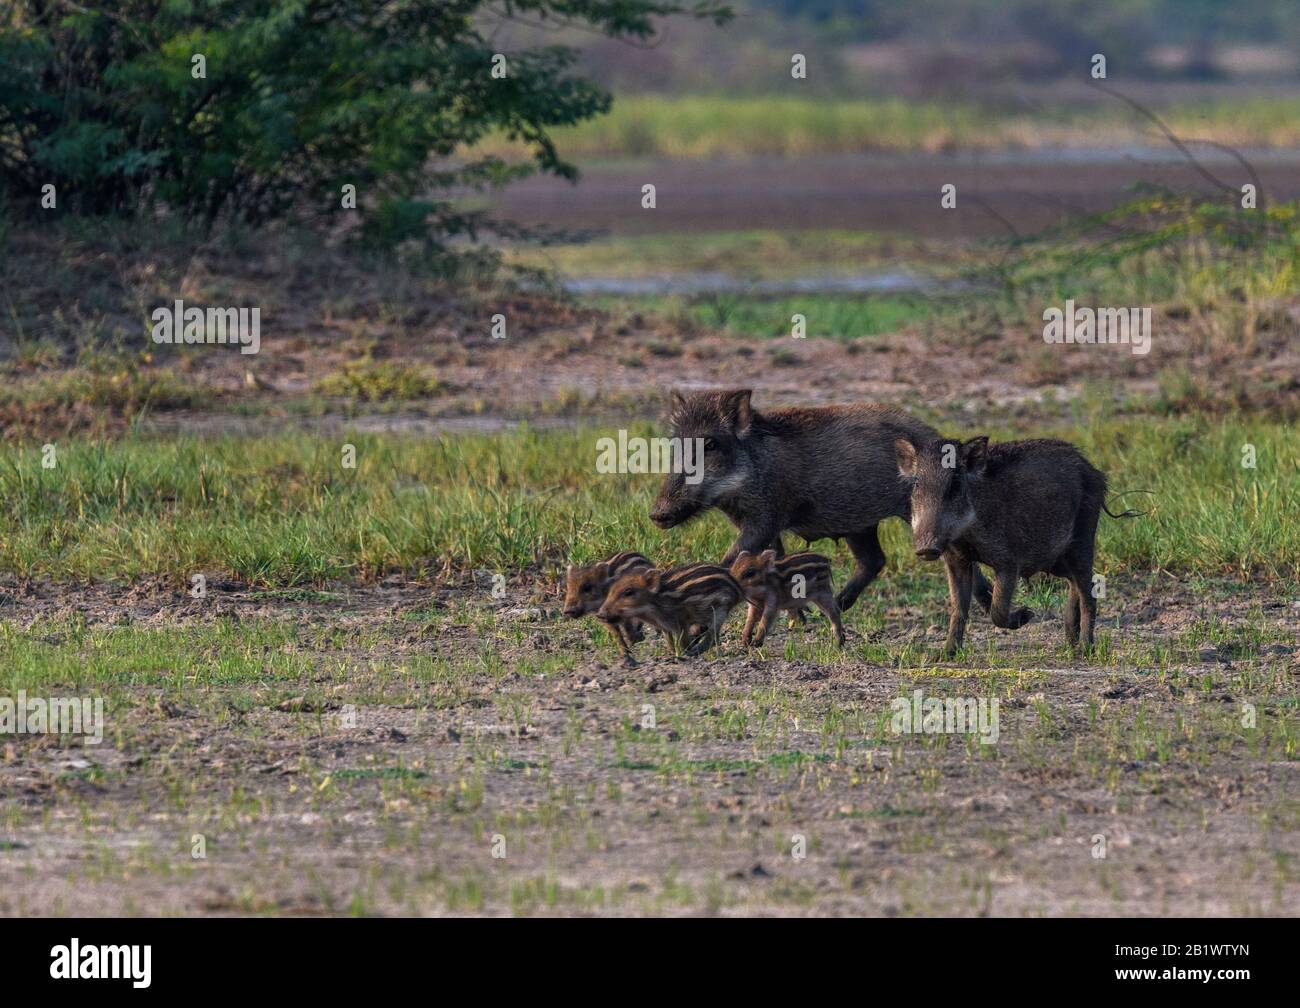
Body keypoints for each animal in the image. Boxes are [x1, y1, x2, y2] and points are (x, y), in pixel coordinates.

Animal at [650, 389, 996, 616]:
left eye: (709, 443)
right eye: (675, 443)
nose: (657, 514)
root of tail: (933, 435)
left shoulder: (765, 518)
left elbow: (731, 558)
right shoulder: (765, 526)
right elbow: (772, 561)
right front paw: (796, 618)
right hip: (859, 523)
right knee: (874, 560)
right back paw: (836, 607)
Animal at [894, 434, 1140, 655]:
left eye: (955, 485)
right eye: (917, 484)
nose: (926, 547)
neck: (966, 535)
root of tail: (1096, 474)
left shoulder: (1009, 561)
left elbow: (998, 609)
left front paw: (1027, 614)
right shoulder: (956, 560)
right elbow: (958, 608)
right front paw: (945, 654)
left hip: (1082, 540)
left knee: (1088, 592)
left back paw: (1086, 649)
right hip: (1054, 558)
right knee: (1074, 583)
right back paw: (1071, 644)